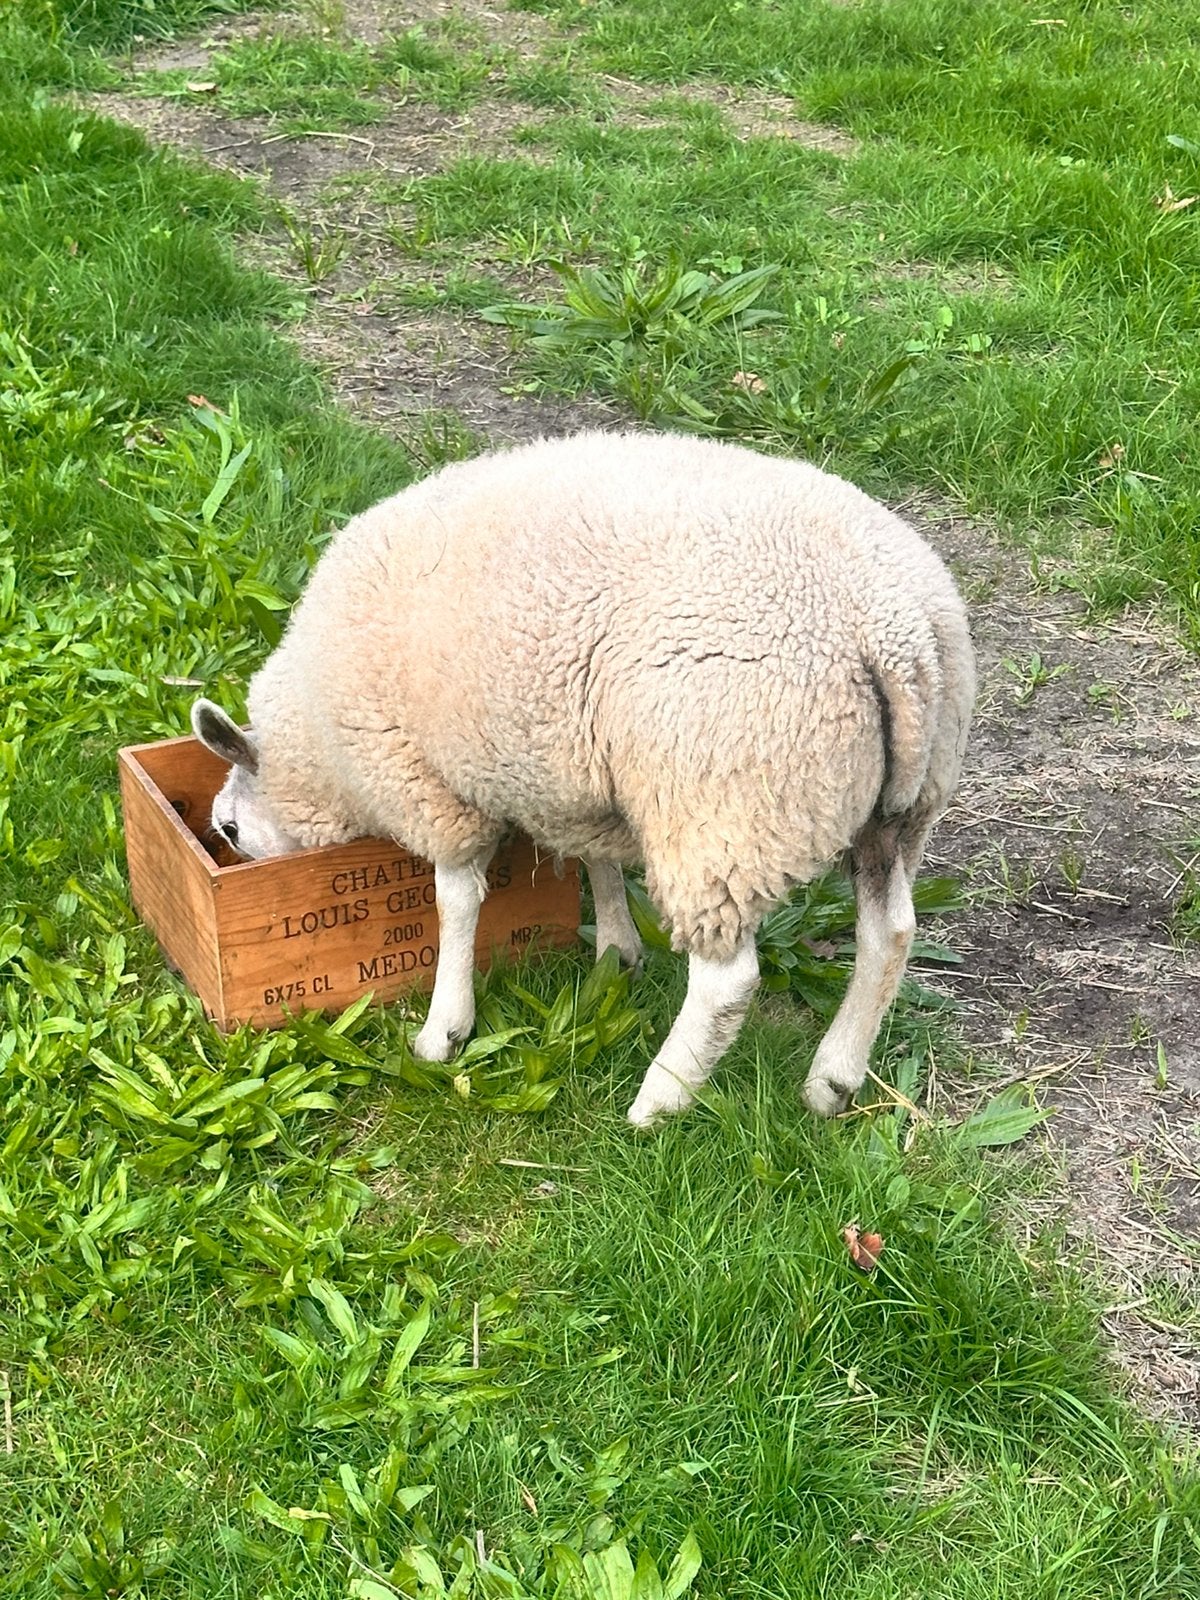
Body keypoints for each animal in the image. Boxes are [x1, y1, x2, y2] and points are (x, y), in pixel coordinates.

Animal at [191, 429, 975, 1127]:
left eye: (228, 827)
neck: (319, 749)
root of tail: (895, 636)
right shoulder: (575, 771)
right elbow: (596, 858)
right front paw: (616, 951)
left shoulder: (430, 784)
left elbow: (455, 902)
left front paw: (444, 1030)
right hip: (900, 809)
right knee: (890, 933)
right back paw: (831, 1081)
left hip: (725, 803)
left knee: (727, 981)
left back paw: (659, 1101)